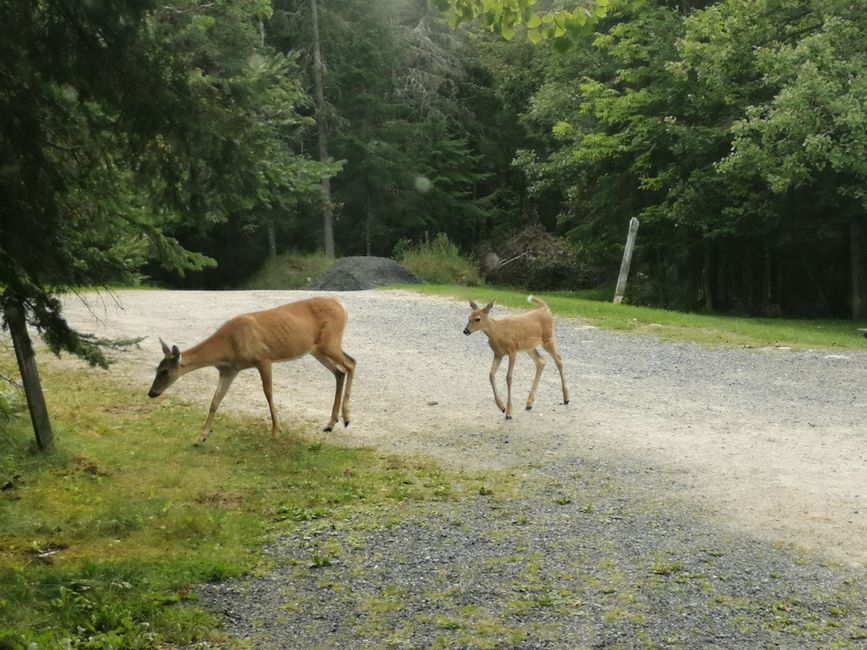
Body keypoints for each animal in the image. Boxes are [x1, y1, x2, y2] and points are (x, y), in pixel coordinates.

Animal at [149, 294, 356, 442]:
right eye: (156, 369)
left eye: (165, 371)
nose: (151, 393)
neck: (228, 345)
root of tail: (342, 306)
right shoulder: (229, 370)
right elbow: (215, 400)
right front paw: (201, 437)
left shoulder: (263, 358)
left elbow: (268, 393)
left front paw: (276, 430)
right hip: (317, 349)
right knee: (339, 371)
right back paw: (331, 423)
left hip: (329, 342)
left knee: (350, 363)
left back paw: (346, 418)